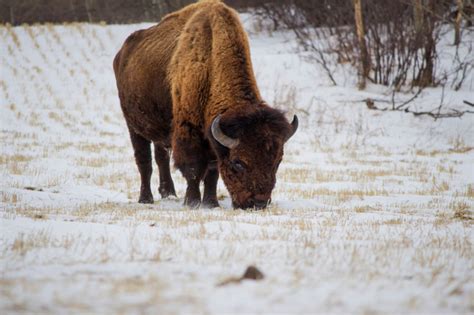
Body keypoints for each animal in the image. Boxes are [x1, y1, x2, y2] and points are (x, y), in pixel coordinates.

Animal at [113, 0, 298, 210]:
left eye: (278, 161)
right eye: (238, 163)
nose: (258, 203)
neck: (211, 62)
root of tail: (122, 53)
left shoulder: (212, 140)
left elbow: (212, 171)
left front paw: (211, 203)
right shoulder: (189, 131)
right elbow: (193, 168)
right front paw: (192, 202)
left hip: (160, 129)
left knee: (161, 157)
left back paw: (168, 193)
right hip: (134, 126)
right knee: (144, 161)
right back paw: (146, 198)